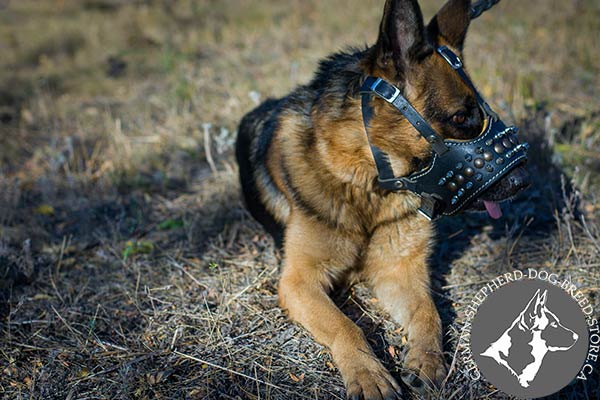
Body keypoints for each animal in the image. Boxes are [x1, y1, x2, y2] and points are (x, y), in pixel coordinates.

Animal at [237, 0, 528, 396]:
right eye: (461, 117)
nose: (523, 180)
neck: (366, 183)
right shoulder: (299, 282)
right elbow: (346, 325)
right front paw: (368, 374)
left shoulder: (399, 271)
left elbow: (428, 312)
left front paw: (427, 359)